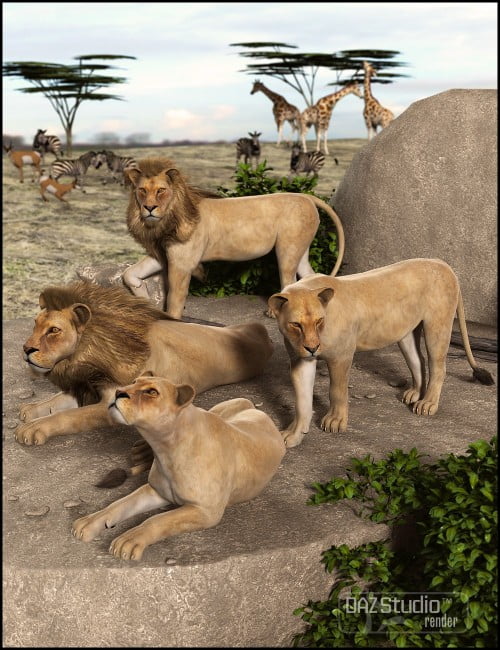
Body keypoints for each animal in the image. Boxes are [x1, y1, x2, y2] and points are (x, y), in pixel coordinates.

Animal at [15, 280, 274, 453]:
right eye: (35, 324)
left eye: (54, 330)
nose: (25, 349)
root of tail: (261, 330)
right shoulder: (88, 385)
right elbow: (57, 401)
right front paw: (32, 409)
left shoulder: (111, 402)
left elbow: (68, 415)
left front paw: (32, 429)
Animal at [72, 375, 286, 561]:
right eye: (133, 382)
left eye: (151, 392)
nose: (118, 392)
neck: (165, 449)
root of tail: (255, 407)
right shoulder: (157, 491)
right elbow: (120, 504)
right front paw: (89, 522)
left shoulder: (206, 512)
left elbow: (159, 520)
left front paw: (129, 540)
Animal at [121, 157, 345, 319]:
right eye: (142, 190)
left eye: (161, 190)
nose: (149, 208)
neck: (164, 221)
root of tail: (305, 196)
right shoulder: (163, 253)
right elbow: (130, 273)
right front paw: (143, 297)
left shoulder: (183, 262)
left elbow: (175, 298)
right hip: (300, 249)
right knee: (309, 274)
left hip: (287, 250)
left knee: (289, 279)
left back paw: (276, 312)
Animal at [268, 258, 495, 448]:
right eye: (296, 324)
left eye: (319, 321)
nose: (313, 348)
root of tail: (442, 263)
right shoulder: (301, 360)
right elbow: (302, 402)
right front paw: (293, 435)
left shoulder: (341, 356)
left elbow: (337, 391)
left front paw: (335, 421)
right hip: (406, 333)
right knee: (418, 361)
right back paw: (414, 393)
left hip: (437, 326)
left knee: (438, 367)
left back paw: (428, 403)